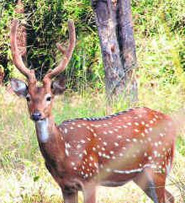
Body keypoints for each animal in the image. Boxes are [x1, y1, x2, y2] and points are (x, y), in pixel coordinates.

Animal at [10, 19, 176, 203]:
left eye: (49, 97)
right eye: (28, 97)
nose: (36, 114)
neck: (64, 154)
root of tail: (171, 121)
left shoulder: (89, 177)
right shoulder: (65, 186)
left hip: (159, 163)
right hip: (141, 175)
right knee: (170, 196)